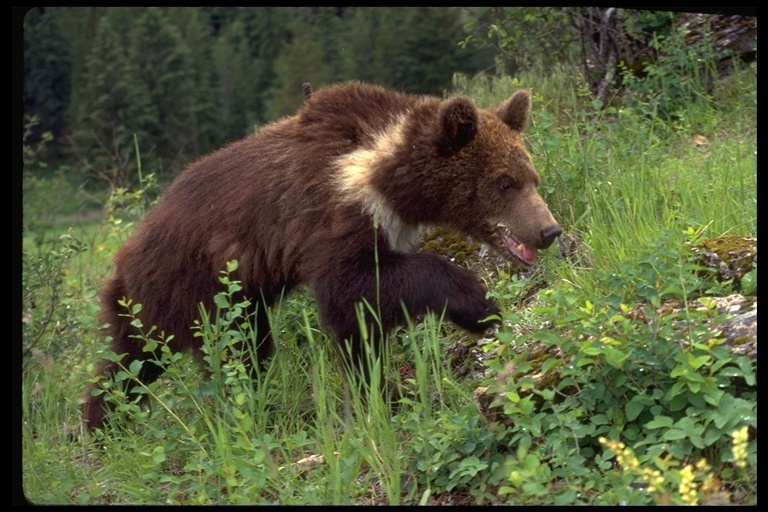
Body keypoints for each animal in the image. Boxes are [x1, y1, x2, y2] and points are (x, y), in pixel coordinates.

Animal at [81, 82, 560, 430]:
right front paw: (479, 303)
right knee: (229, 352)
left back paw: (106, 421)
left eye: (532, 177)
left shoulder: (384, 225)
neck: (384, 177)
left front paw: (380, 390)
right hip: (196, 285)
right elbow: (352, 288)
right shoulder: (331, 212)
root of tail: (122, 254)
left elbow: (362, 321)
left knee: (134, 358)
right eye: (504, 183)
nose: (549, 231)